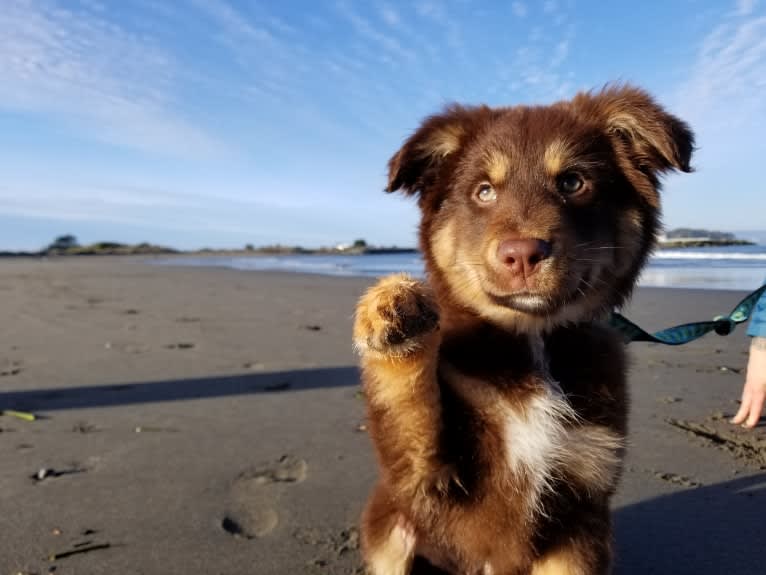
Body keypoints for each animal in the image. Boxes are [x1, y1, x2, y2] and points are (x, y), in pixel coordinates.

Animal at [354, 86, 696, 575]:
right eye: (483, 191)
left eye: (572, 183)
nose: (521, 255)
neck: (532, 336)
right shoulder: (420, 482)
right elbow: (409, 413)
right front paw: (393, 310)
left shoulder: (580, 516)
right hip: (388, 528)